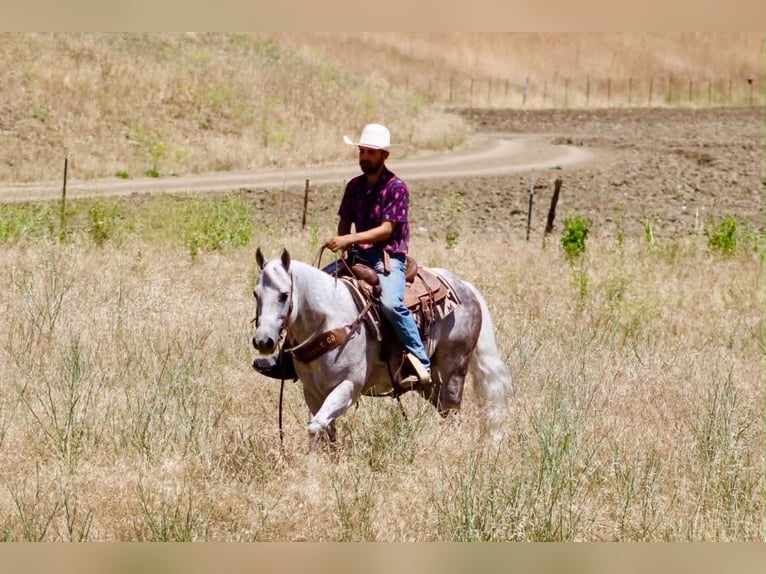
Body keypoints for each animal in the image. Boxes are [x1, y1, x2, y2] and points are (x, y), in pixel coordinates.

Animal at [251, 247, 512, 449]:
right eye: (255, 294)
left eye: (284, 295)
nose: (263, 341)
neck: (328, 319)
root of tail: (465, 287)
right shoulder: (313, 392)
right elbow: (325, 430)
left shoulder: (349, 386)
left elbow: (315, 427)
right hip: (430, 384)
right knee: (445, 411)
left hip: (453, 370)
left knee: (453, 413)